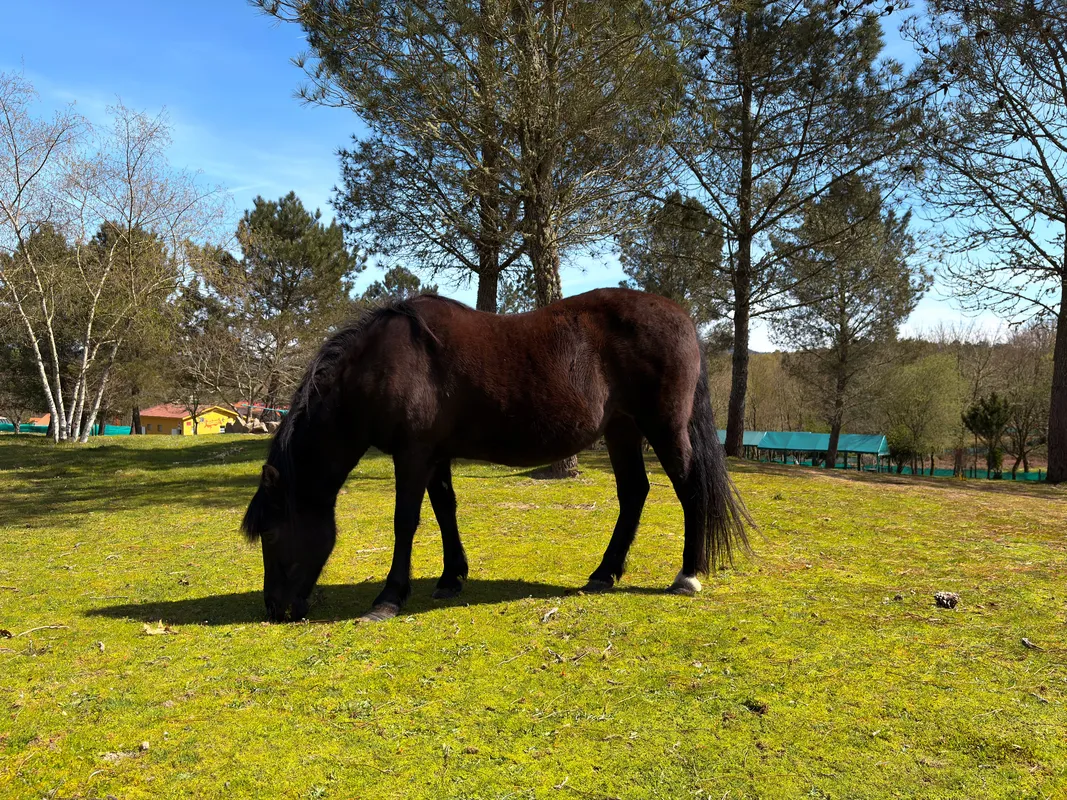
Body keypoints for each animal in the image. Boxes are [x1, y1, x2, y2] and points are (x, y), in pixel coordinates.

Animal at [242, 287, 751, 622]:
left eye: (272, 531)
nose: (275, 608)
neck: (383, 362)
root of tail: (681, 316)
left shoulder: (413, 454)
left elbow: (406, 521)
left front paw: (389, 597)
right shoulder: (435, 454)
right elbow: (445, 510)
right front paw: (451, 578)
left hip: (663, 427)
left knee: (689, 489)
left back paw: (687, 575)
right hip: (622, 429)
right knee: (634, 494)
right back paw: (604, 573)